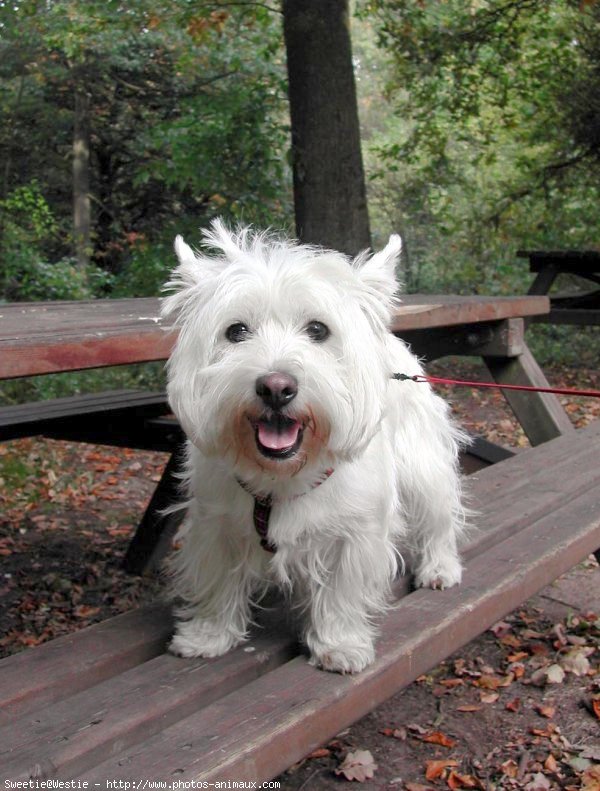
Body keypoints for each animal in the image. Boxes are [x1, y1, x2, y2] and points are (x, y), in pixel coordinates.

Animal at [162, 223, 466, 676]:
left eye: (318, 330)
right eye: (236, 331)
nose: (276, 387)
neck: (282, 477)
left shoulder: (354, 532)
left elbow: (341, 589)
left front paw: (340, 646)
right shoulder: (216, 522)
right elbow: (217, 577)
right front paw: (207, 636)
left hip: (421, 463)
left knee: (438, 515)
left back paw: (440, 567)